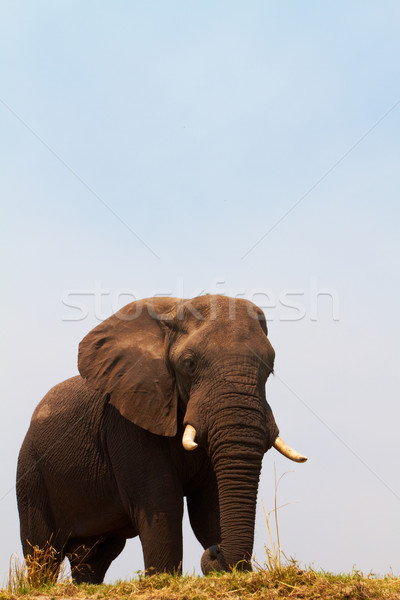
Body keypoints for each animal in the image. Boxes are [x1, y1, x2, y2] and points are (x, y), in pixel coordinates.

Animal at [16, 296, 306, 580]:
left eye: (270, 368)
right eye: (189, 364)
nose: (216, 551)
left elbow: (209, 507)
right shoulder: (128, 422)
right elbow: (162, 504)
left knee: (94, 559)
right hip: (30, 474)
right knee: (43, 553)